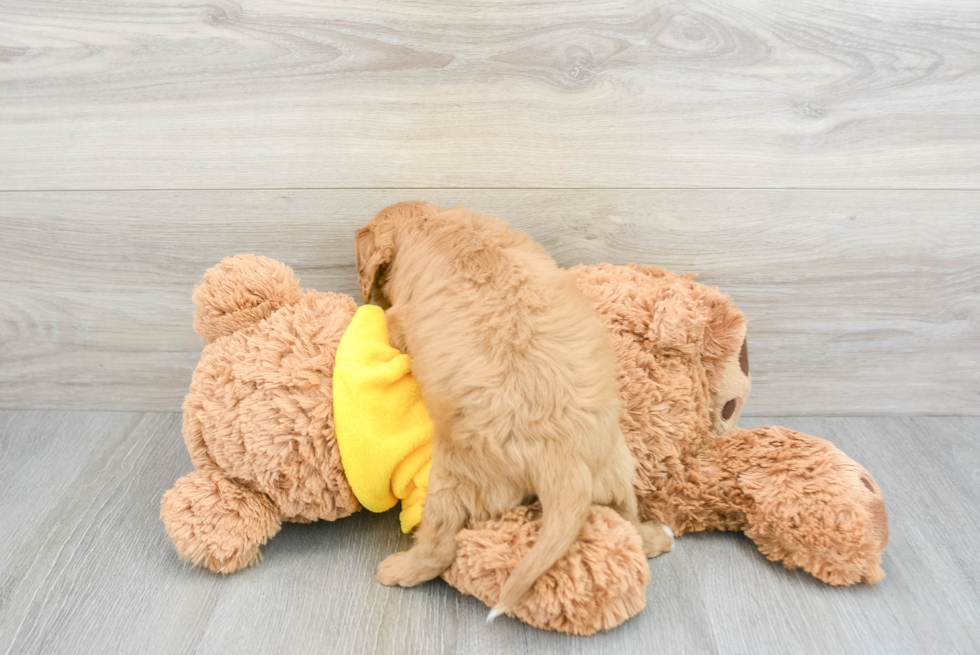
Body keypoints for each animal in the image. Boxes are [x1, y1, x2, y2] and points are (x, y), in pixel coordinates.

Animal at [354, 202, 672, 616]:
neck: (432, 222)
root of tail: (564, 461)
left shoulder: (401, 321)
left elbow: (392, 325)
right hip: (616, 467)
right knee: (629, 521)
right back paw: (659, 535)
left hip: (456, 476)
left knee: (440, 545)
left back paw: (398, 570)